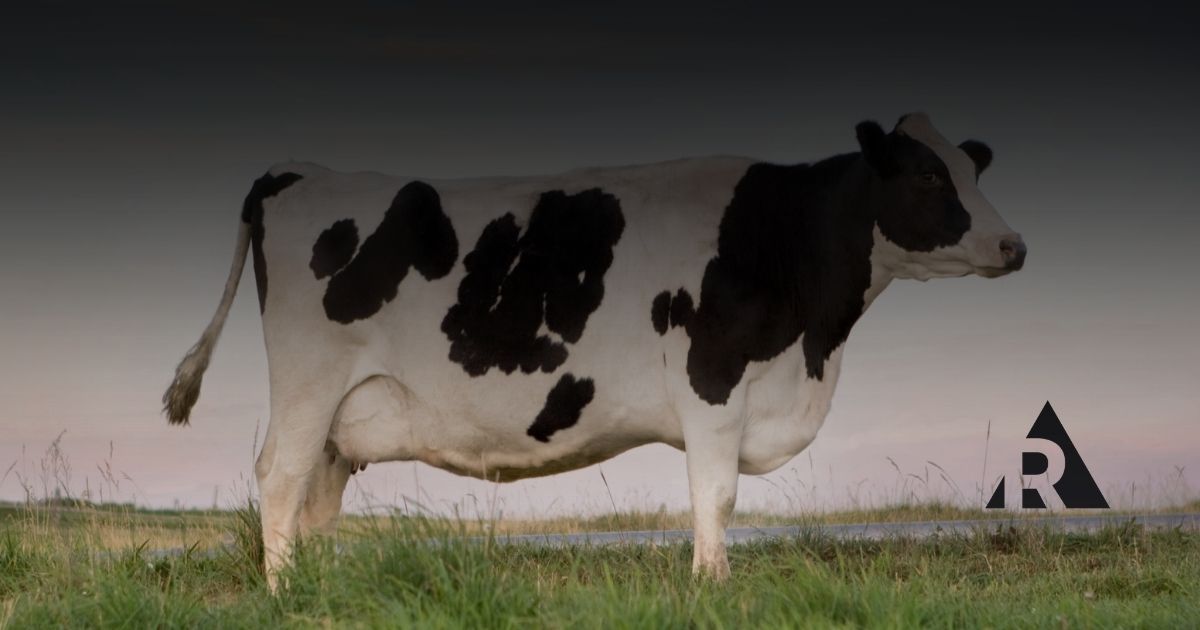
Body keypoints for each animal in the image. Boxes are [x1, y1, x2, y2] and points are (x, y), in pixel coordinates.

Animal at [163, 113, 1025, 586]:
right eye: (926, 175)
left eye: (970, 169)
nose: (1014, 245)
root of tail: (297, 170)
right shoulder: (712, 383)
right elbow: (715, 497)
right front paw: (712, 588)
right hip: (309, 382)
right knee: (278, 476)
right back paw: (282, 593)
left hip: (345, 410)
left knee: (316, 496)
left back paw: (316, 588)